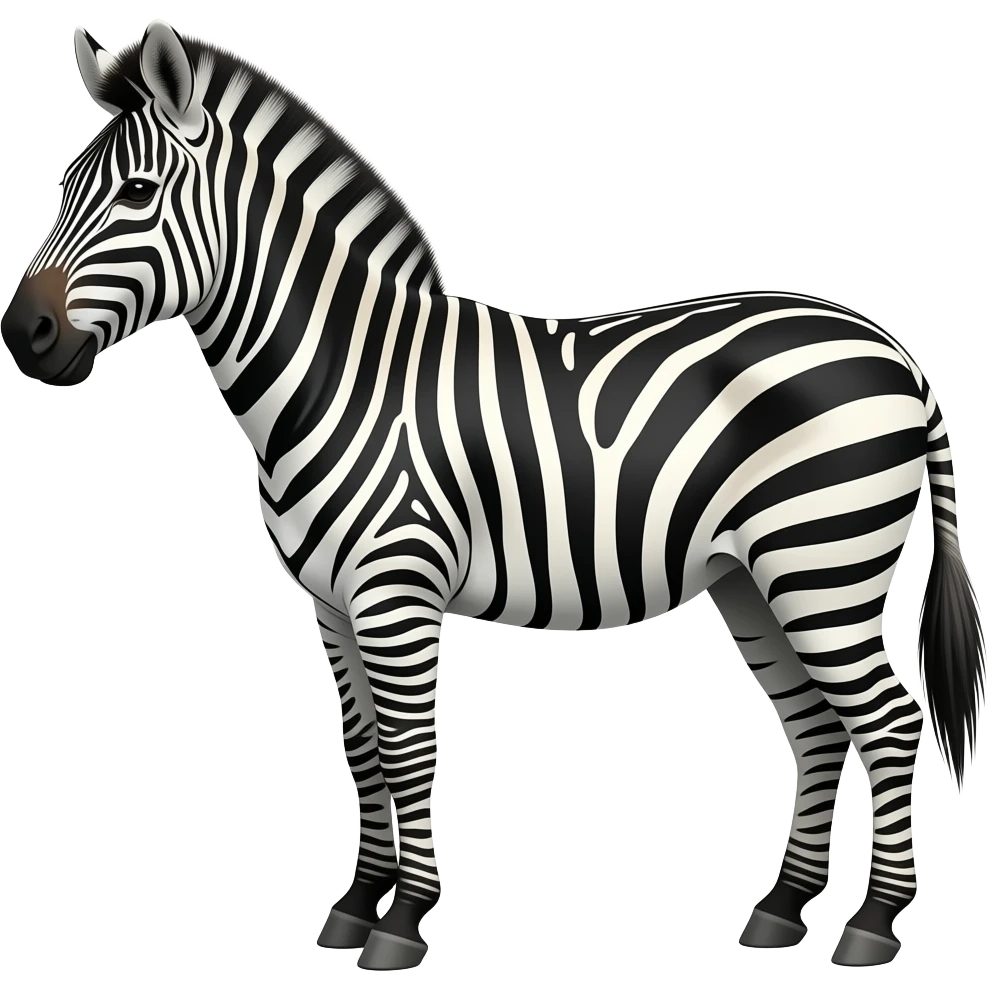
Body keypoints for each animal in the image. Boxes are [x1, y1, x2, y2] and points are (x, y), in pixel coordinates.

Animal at [1, 19, 984, 972]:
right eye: (63, 185)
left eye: (136, 193)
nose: (23, 335)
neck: (343, 376)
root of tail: (896, 350)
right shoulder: (330, 603)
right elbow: (363, 750)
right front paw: (355, 904)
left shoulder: (395, 591)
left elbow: (408, 750)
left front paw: (402, 921)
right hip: (754, 579)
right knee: (816, 728)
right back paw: (781, 909)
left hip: (823, 564)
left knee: (888, 723)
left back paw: (873, 923)